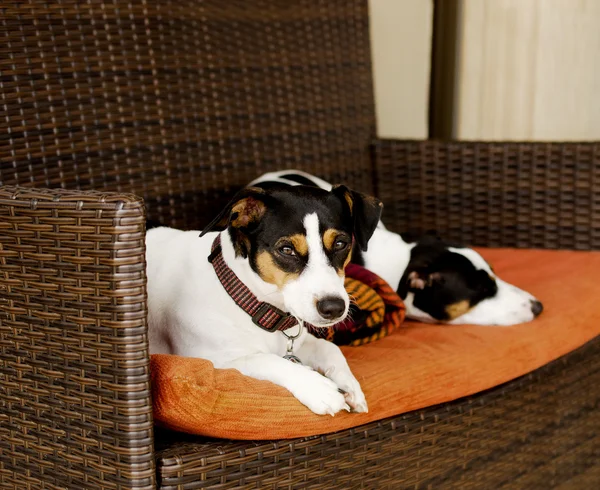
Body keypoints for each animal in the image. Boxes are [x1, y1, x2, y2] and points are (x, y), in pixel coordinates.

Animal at [146, 183, 382, 414]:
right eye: (286, 249)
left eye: (341, 244)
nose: (333, 308)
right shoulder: (211, 359)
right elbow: (265, 359)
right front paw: (319, 389)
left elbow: (330, 348)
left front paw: (350, 385)